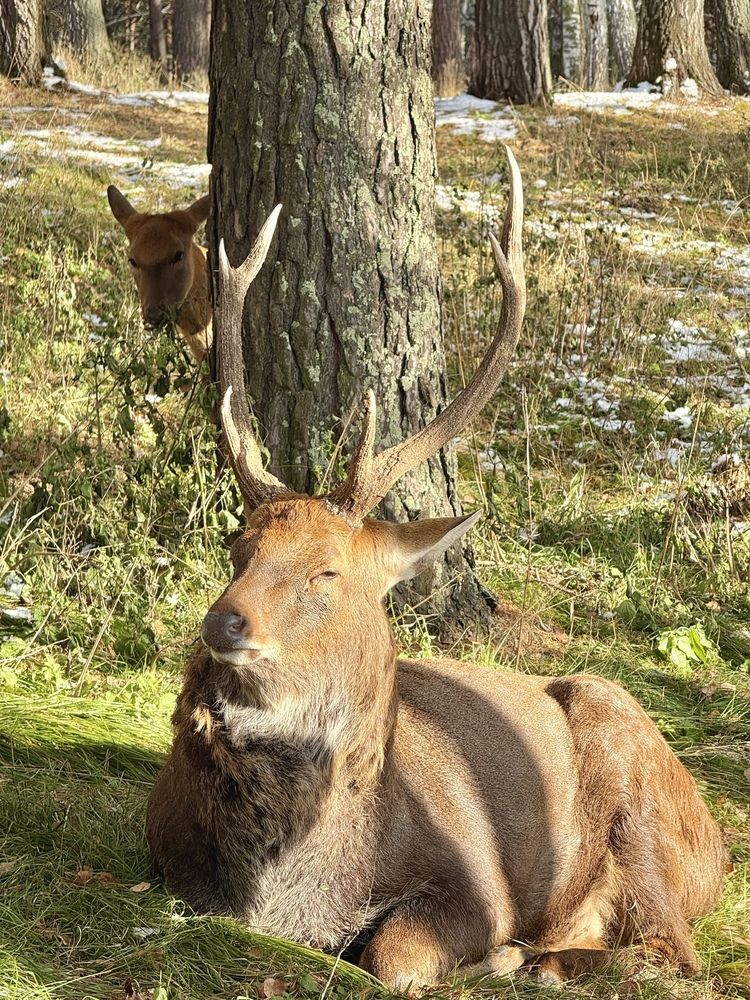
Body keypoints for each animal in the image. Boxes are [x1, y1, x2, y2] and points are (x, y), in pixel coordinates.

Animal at [146, 148, 725, 989]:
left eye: (329, 572)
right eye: (237, 545)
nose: (224, 621)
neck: (290, 891)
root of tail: (720, 846)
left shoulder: (476, 881)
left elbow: (394, 958)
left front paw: (485, 953)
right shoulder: (162, 850)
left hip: (641, 803)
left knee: (667, 951)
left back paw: (534, 960)